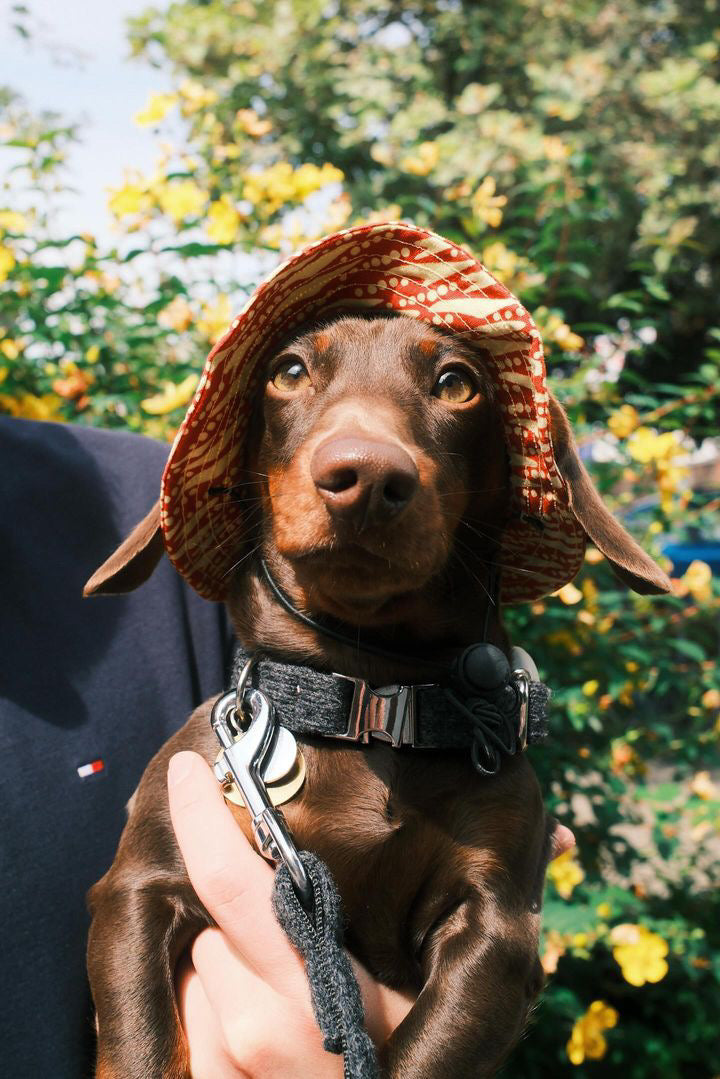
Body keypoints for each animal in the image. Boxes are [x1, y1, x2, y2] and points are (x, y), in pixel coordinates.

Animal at [84, 315, 669, 1079]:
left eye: (457, 382)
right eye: (289, 371)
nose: (364, 475)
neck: (370, 700)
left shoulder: (496, 930)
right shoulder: (139, 887)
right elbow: (142, 1046)